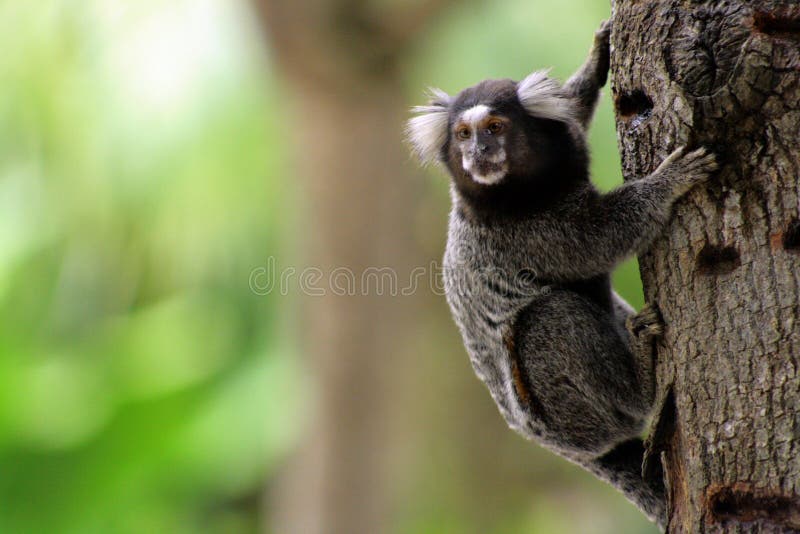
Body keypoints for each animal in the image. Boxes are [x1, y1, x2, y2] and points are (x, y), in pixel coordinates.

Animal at [406, 19, 720, 528]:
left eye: (494, 127)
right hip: (566, 418)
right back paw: (643, 381)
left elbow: (573, 108)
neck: (520, 191)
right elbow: (601, 239)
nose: (479, 152)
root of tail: (573, 452)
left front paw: (596, 60)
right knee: (549, 318)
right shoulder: (527, 234)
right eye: (462, 134)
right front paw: (667, 183)